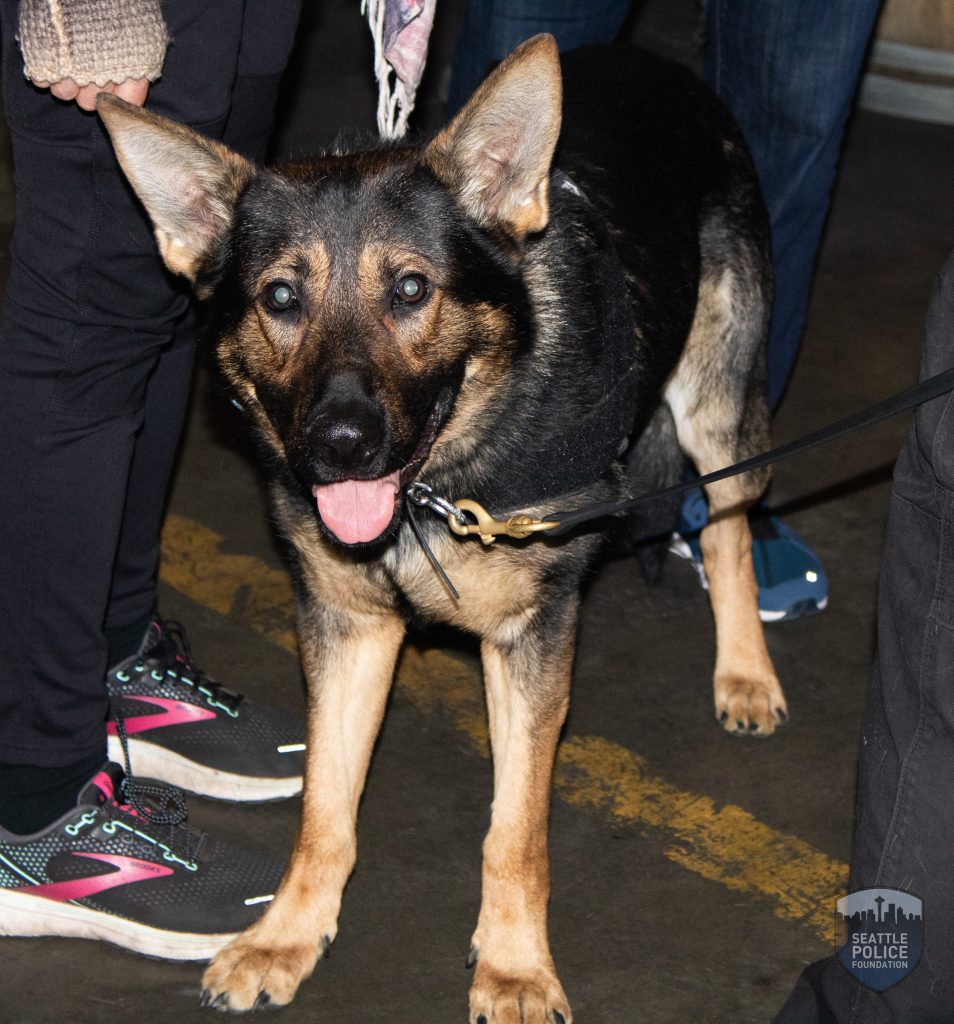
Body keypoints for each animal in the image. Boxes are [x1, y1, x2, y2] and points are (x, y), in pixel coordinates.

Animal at [98, 36, 782, 1019]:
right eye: (280, 298)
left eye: (413, 288)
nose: (340, 446)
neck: (434, 485)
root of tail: (654, 59)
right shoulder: (348, 629)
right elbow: (325, 811)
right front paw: (286, 937)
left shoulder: (531, 638)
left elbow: (515, 833)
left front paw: (516, 966)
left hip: (718, 404)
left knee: (729, 525)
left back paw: (745, 673)